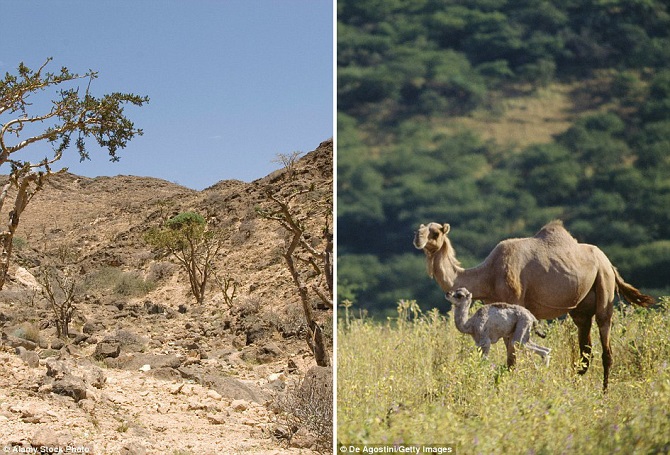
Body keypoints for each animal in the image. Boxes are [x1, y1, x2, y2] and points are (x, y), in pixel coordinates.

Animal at [414, 219, 656, 390]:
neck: (488, 275)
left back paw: (604, 392)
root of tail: (609, 263)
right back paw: (574, 385)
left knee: (605, 341)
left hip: (604, 284)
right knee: (585, 350)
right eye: (421, 228)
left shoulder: (514, 302)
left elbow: (511, 359)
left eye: (436, 232)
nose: (417, 238)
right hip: (581, 309)